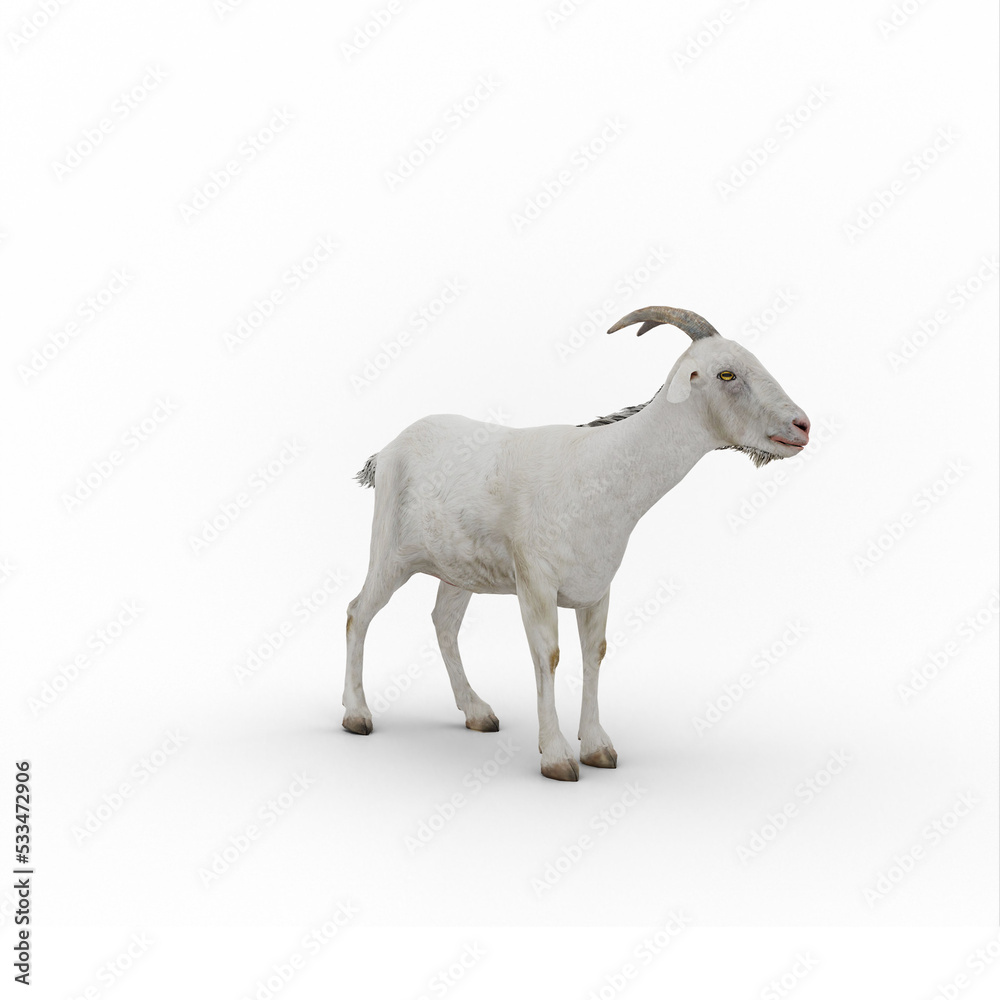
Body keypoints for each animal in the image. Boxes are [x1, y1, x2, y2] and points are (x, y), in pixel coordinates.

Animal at [343, 306, 810, 780]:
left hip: (459, 570)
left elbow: (594, 653)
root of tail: (386, 452)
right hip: (390, 552)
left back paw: (477, 713)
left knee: (444, 623)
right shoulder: (535, 581)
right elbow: (548, 654)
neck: (597, 470)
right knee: (358, 612)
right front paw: (557, 756)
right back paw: (357, 715)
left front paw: (598, 747)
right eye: (726, 374)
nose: (801, 426)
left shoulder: (598, 586)